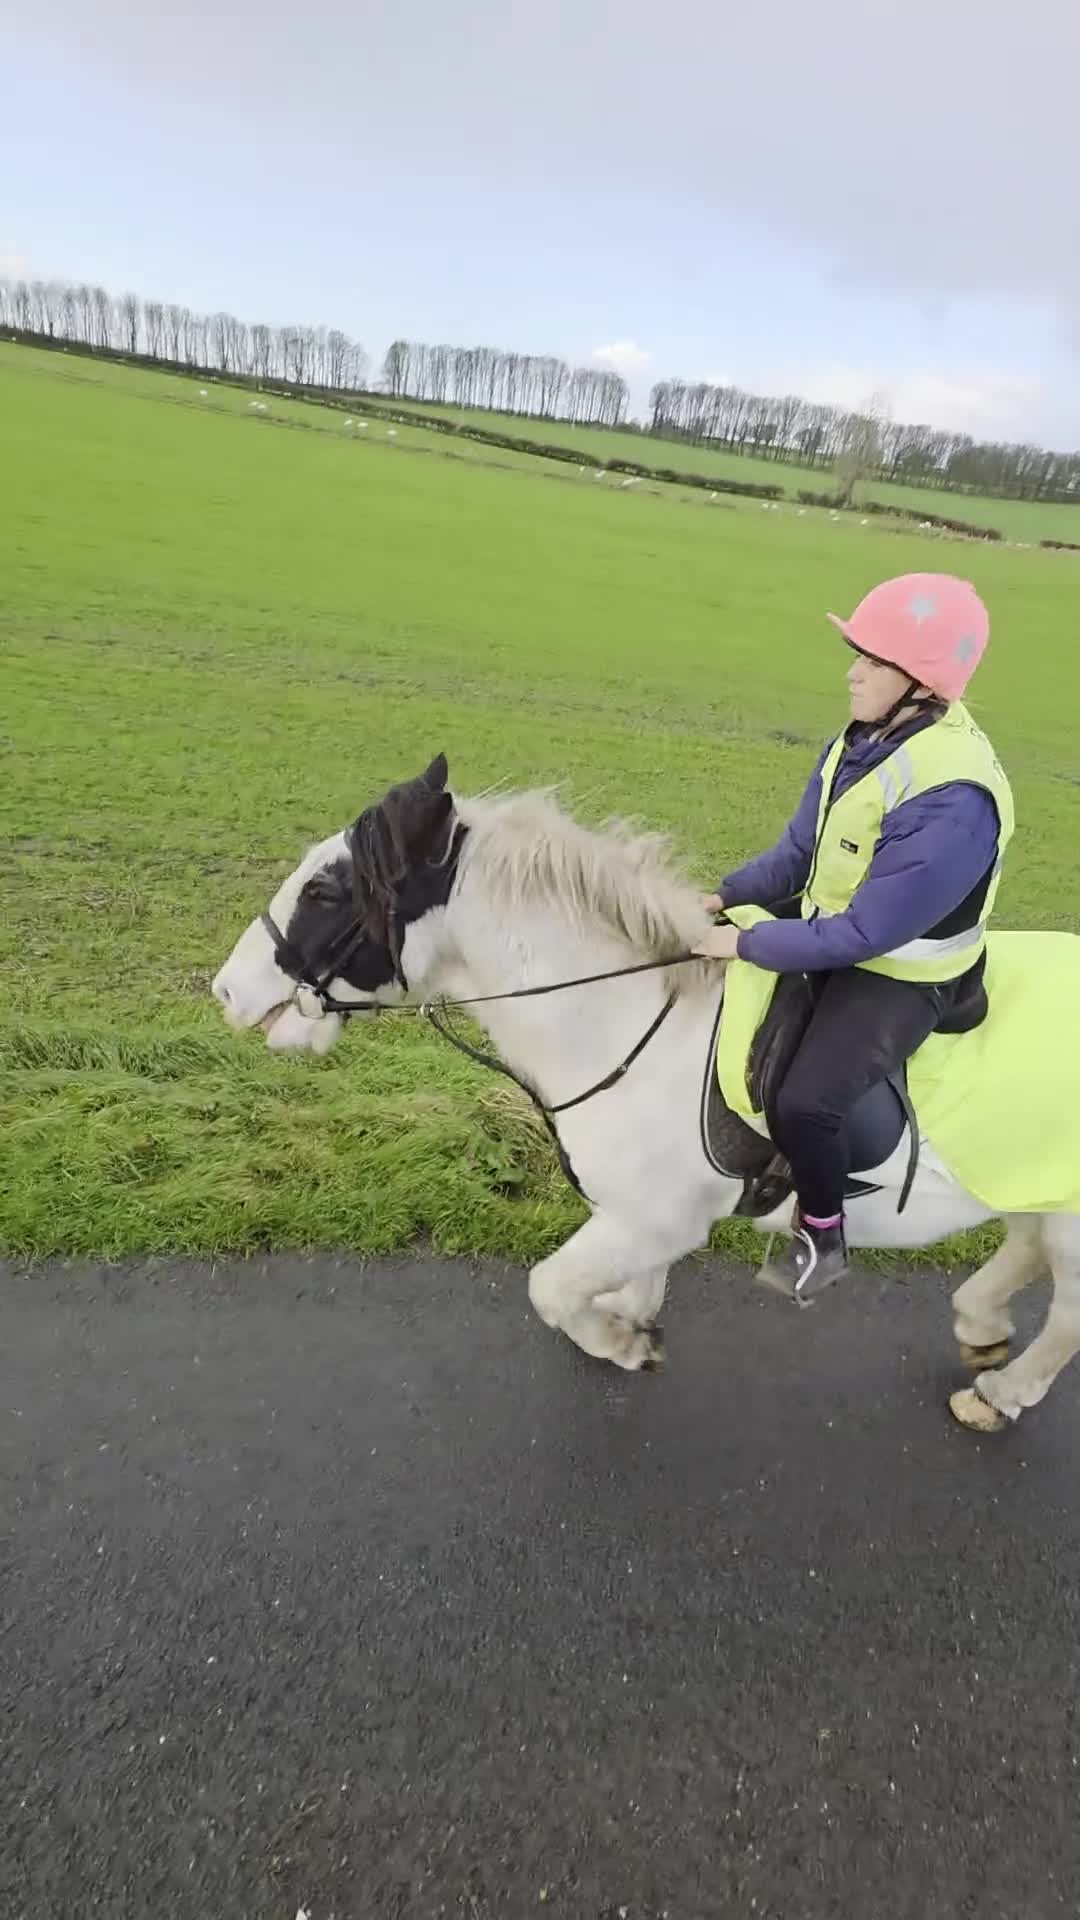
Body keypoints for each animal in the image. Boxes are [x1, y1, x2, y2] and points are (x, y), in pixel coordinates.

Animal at [211, 753, 1080, 1435]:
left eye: (326, 893)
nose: (226, 992)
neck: (633, 1022)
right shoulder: (640, 1222)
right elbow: (618, 1284)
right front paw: (629, 1316)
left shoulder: (655, 1217)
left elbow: (550, 1290)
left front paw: (620, 1344)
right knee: (1025, 1247)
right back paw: (980, 1324)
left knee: (1067, 1311)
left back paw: (1000, 1393)